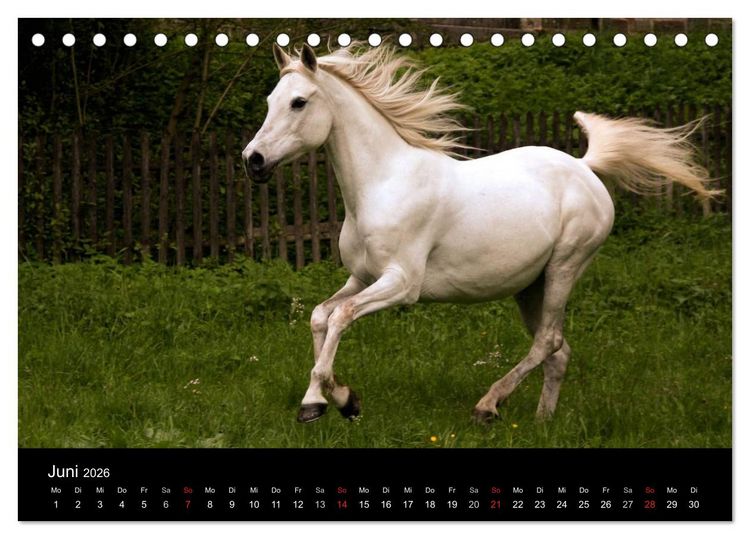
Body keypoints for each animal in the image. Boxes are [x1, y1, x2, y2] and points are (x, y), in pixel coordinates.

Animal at [242, 43, 719, 424]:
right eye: (270, 100)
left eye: (299, 102)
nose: (253, 160)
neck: (382, 183)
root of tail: (584, 167)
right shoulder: (362, 277)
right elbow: (320, 316)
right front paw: (324, 401)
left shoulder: (402, 284)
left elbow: (340, 316)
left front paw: (335, 399)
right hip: (531, 286)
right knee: (558, 350)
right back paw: (542, 422)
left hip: (566, 266)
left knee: (548, 341)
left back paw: (488, 405)